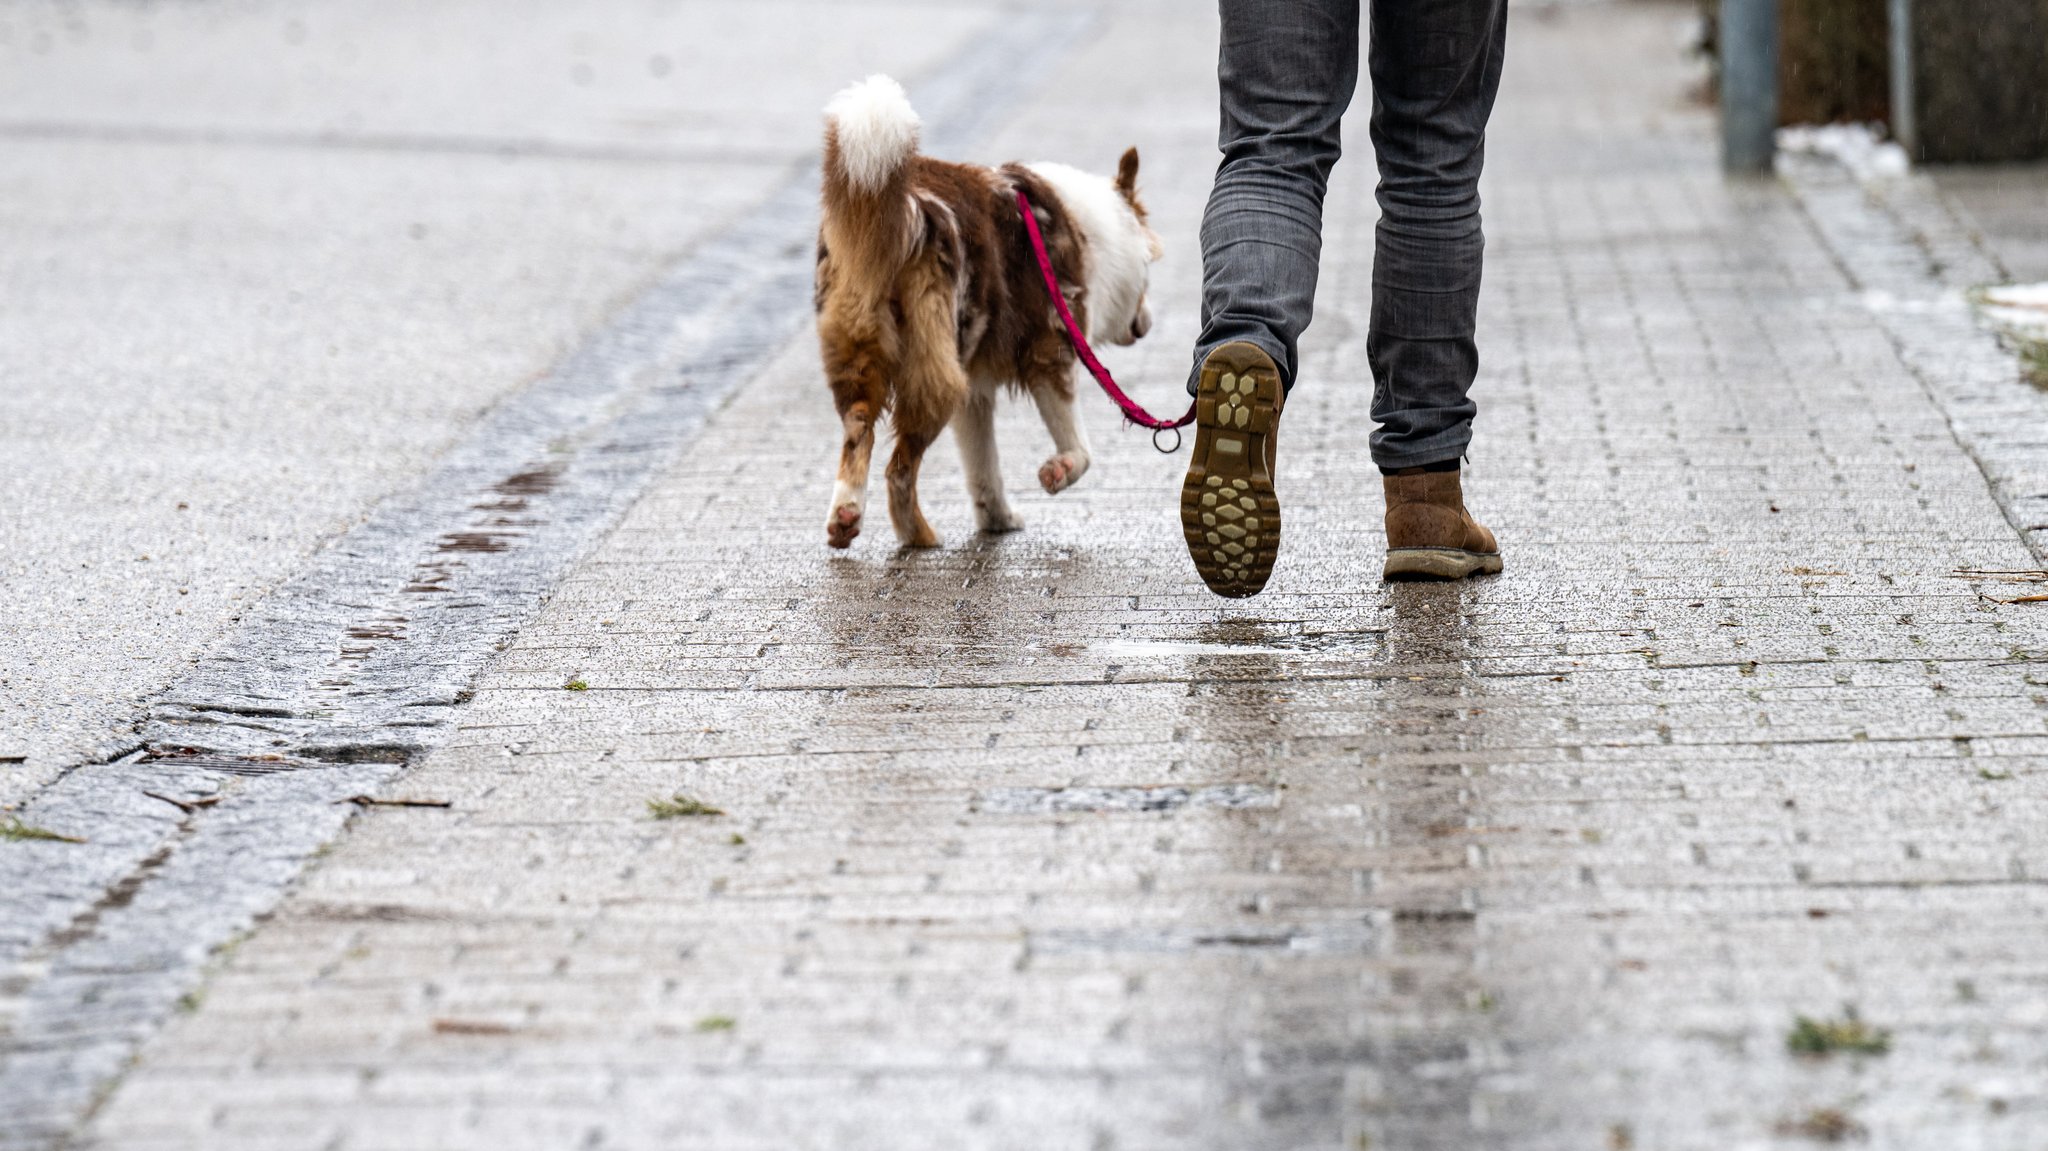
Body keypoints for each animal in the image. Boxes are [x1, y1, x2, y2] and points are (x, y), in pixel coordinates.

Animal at [819, 77, 1171, 552]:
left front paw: (997, 519)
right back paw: (918, 535)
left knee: (859, 435)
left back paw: (847, 516)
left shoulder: (975, 391)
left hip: (865, 352)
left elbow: (983, 468)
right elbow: (1079, 446)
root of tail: (904, 207)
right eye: (1149, 267)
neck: (1092, 233)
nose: (1148, 322)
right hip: (937, 371)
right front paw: (1058, 472)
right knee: (899, 470)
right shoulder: (1051, 350)